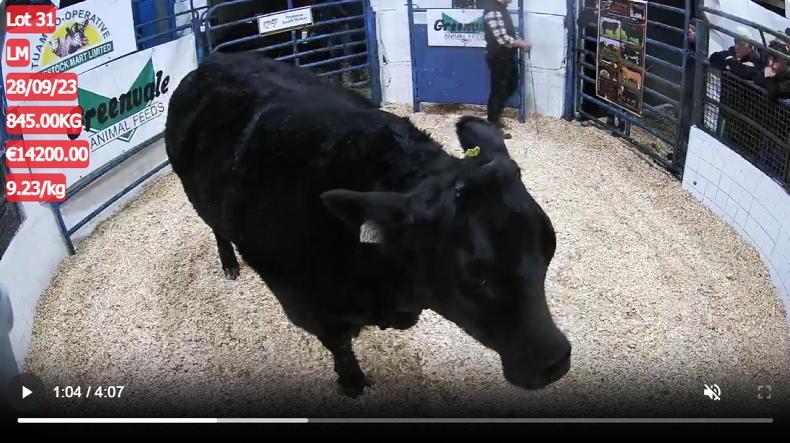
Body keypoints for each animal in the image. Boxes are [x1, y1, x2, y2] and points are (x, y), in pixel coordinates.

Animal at [165, 52, 572, 397]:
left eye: (549, 247)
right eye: (475, 274)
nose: (554, 362)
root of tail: (212, 61)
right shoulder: (309, 307)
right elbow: (340, 347)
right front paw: (353, 383)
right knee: (217, 229)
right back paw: (229, 264)